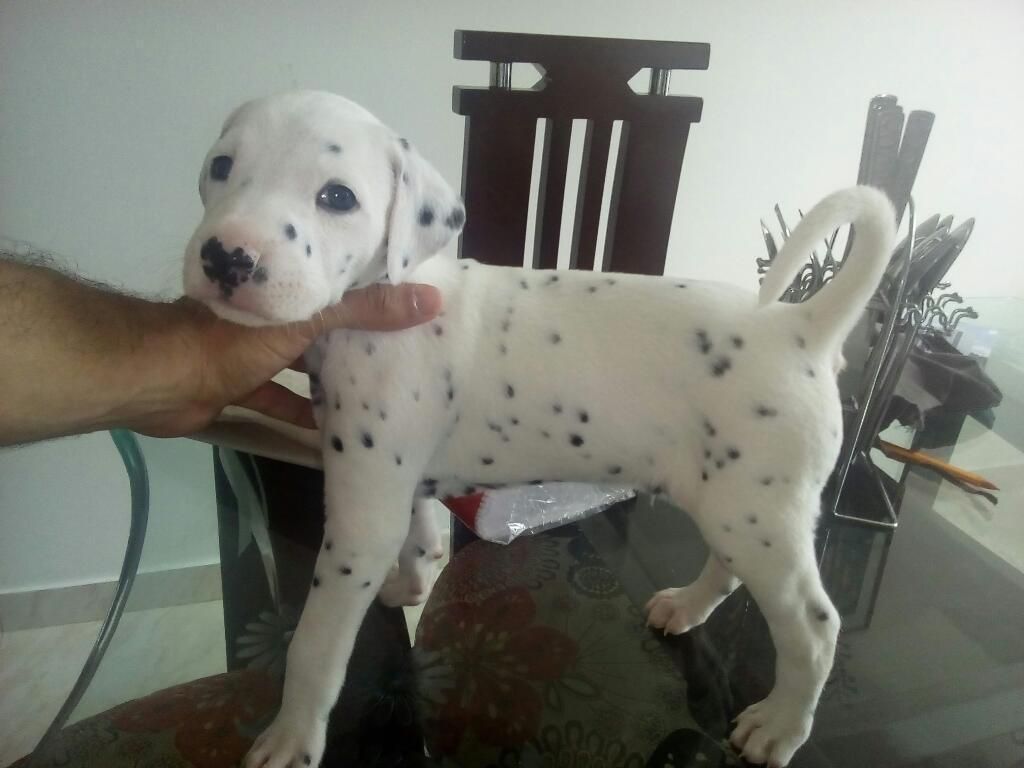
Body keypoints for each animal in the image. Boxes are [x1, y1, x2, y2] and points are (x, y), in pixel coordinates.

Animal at [182, 88, 897, 765]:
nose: (227, 258)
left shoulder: (359, 522)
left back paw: (780, 726)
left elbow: (314, 644)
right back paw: (688, 606)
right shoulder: (396, 478)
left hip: (758, 516)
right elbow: (418, 535)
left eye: (337, 197)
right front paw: (411, 580)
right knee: (731, 569)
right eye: (220, 167)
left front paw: (292, 736)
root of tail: (803, 325)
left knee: (815, 627)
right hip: (737, 508)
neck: (385, 299)